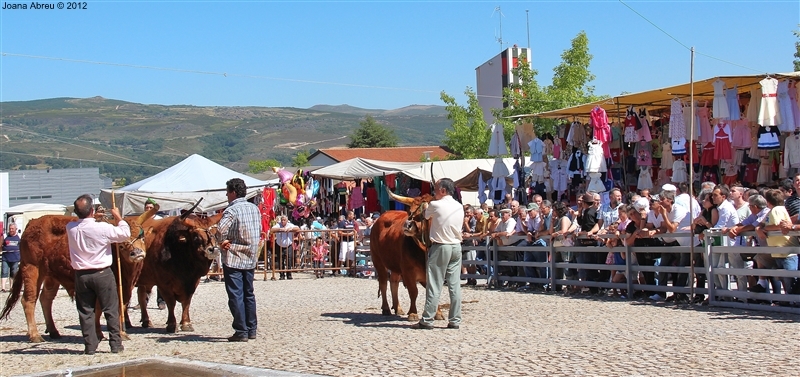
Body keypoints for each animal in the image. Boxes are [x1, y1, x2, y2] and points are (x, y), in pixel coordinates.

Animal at [0, 207, 156, 342]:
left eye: (141, 237)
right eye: (122, 244)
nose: (136, 253)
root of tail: (33, 223)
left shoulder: (124, 288)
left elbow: (119, 307)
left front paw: (116, 333)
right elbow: (101, 309)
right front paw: (103, 333)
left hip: (51, 276)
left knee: (46, 299)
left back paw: (53, 331)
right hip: (32, 269)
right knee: (28, 300)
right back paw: (34, 335)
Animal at [368, 191, 444, 320]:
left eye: (422, 214)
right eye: (409, 212)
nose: (407, 225)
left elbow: (434, 290)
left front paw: (438, 313)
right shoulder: (408, 271)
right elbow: (413, 291)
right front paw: (413, 313)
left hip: (395, 266)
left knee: (393, 282)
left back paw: (398, 308)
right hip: (378, 261)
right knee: (383, 283)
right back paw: (386, 308)